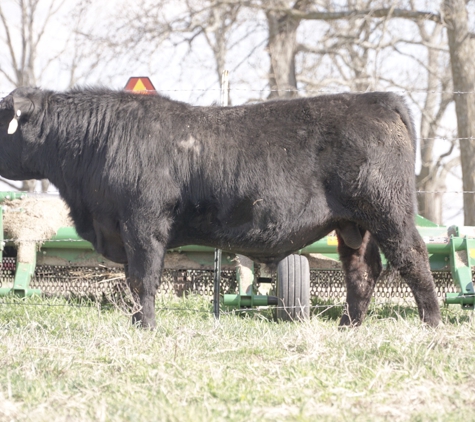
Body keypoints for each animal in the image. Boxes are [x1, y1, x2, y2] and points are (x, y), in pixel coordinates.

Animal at [0, 87, 440, 328]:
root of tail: (378, 99)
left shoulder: (143, 222)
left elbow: (143, 278)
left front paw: (145, 326)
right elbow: (134, 280)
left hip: (387, 209)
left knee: (413, 258)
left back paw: (431, 325)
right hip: (352, 223)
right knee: (363, 270)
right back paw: (348, 327)